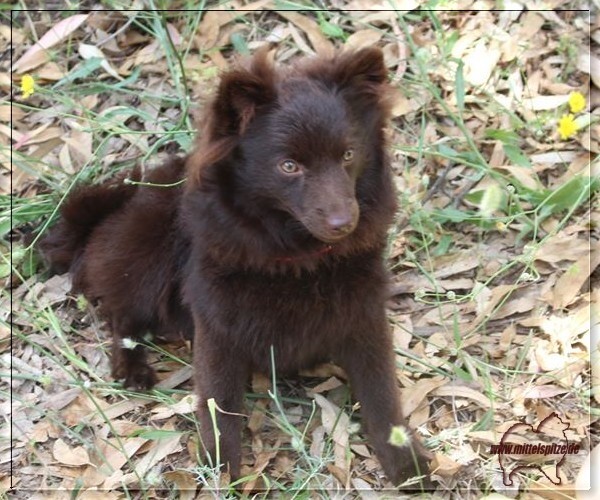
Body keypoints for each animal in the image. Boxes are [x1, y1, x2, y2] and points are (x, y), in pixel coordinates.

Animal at [41, 48, 432, 486]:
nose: (344, 222)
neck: (297, 258)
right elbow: (220, 406)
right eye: (289, 166)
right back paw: (132, 368)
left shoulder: (363, 317)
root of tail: (110, 212)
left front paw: (406, 465)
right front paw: (221, 472)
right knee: (123, 318)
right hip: (149, 260)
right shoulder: (218, 327)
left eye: (348, 155)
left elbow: (382, 397)